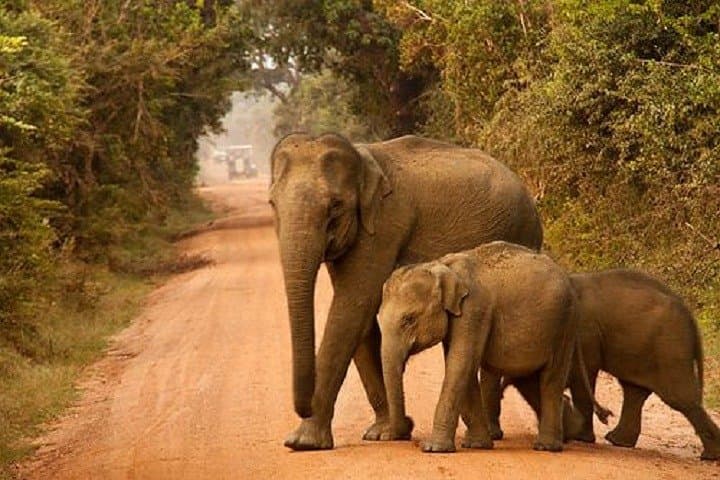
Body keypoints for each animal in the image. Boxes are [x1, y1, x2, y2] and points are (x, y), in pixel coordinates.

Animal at [269, 133, 543, 450]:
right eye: (272, 203)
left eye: (335, 206)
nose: (304, 408)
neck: (362, 160)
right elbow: (361, 320)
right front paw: (383, 433)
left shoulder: (384, 228)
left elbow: (352, 307)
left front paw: (303, 443)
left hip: (521, 233)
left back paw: (491, 433)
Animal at [377, 241, 579, 453]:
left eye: (409, 319)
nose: (409, 424)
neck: (440, 266)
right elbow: (463, 366)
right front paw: (476, 444)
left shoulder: (474, 309)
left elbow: (460, 363)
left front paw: (434, 448)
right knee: (531, 379)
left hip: (565, 324)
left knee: (551, 380)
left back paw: (546, 447)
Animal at [484, 269, 720, 460]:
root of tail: (690, 317)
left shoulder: (583, 334)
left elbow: (581, 376)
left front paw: (581, 437)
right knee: (635, 391)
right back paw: (617, 440)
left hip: (670, 347)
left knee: (679, 397)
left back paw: (710, 456)